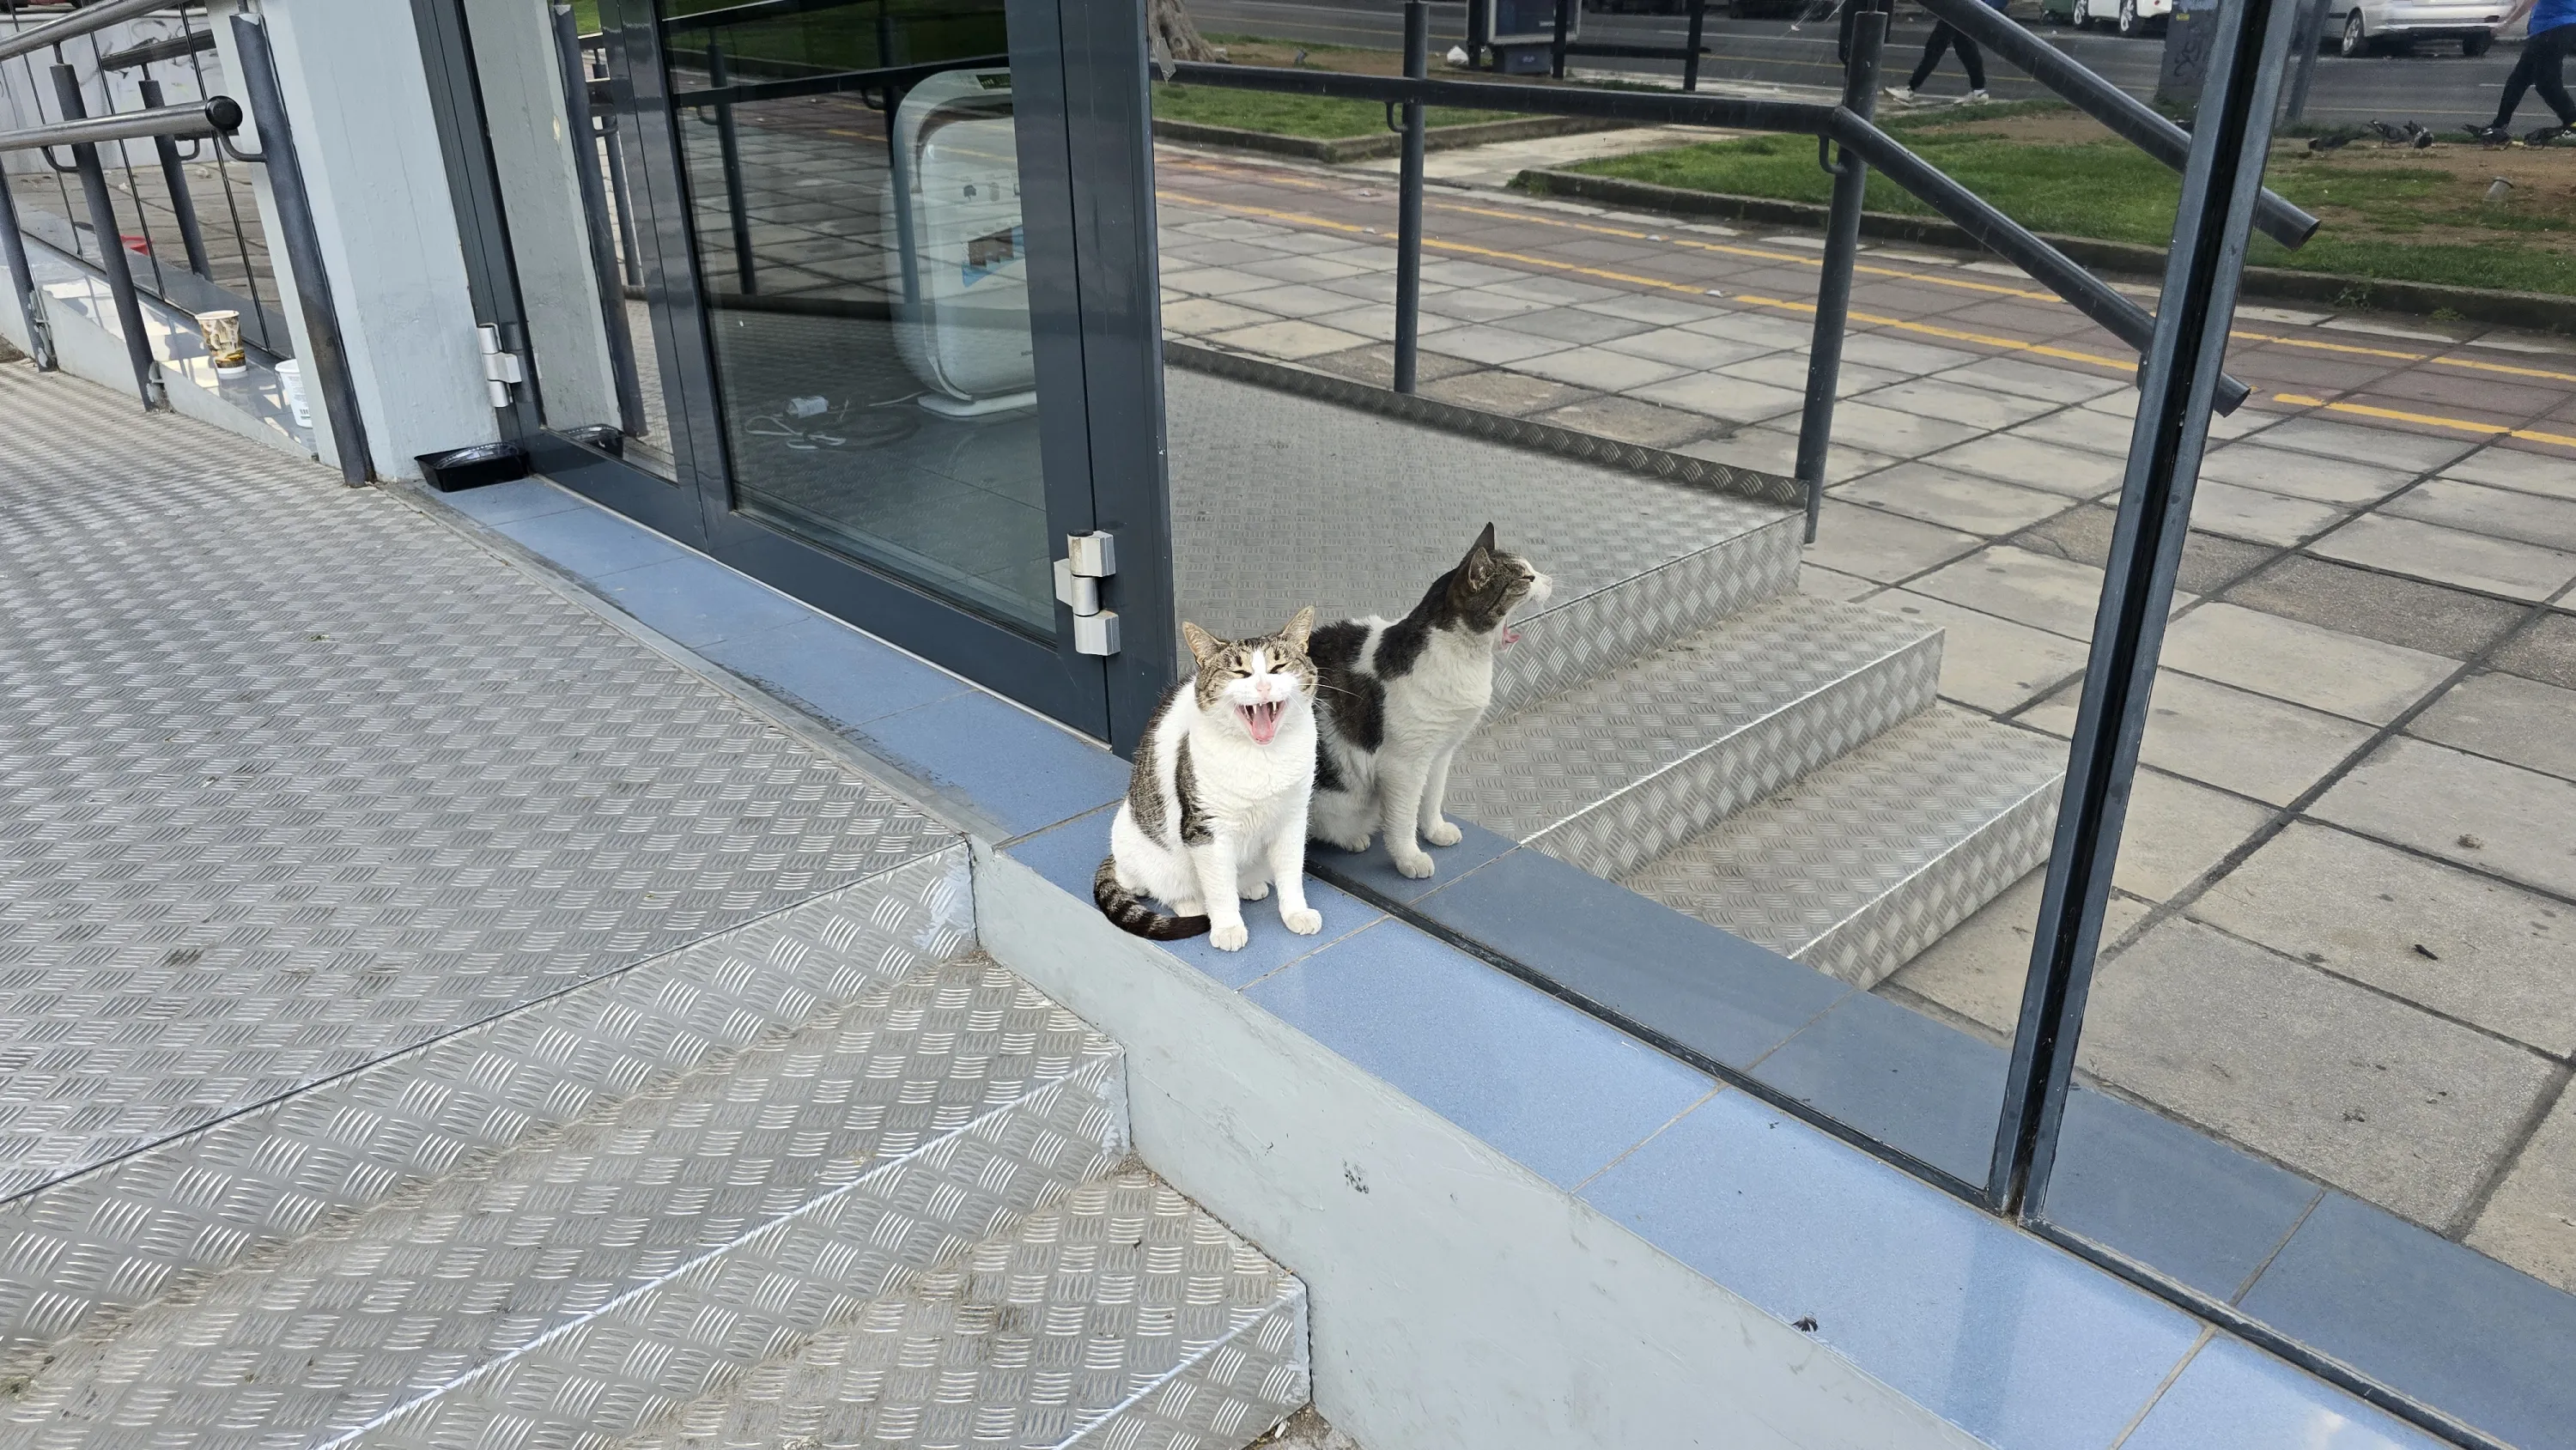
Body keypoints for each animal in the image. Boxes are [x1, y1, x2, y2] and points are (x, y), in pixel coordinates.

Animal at [1096, 608, 1326, 951]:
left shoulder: (1293, 816)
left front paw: (1296, 913)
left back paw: (1250, 885)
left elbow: (1290, 871)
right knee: (1144, 885)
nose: (1263, 687)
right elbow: (1219, 887)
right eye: (1239, 672)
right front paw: (1228, 927)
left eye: (1278, 667)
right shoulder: (1206, 827)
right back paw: (1192, 903)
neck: (1262, 756)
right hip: (1138, 842)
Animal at [1309, 524, 1551, 880]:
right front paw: (1410, 858)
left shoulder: (1439, 753)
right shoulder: (1403, 766)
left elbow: (1432, 798)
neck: (1467, 661)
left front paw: (1435, 831)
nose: (1550, 580)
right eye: (1527, 577)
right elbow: (1403, 819)